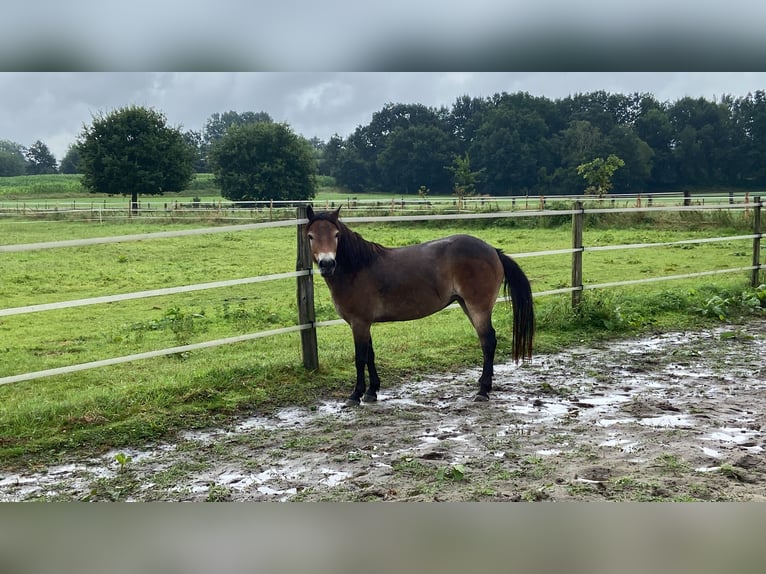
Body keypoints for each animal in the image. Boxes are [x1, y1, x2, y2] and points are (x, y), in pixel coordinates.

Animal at [304, 205, 536, 408]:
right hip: (466, 305)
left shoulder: (359, 322)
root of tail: (493, 251)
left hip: (478, 307)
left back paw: (483, 391)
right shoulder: (364, 323)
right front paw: (372, 391)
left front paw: (355, 395)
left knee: (488, 341)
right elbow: (370, 355)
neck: (358, 268)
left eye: (336, 235)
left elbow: (360, 358)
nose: (327, 264)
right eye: (311, 236)